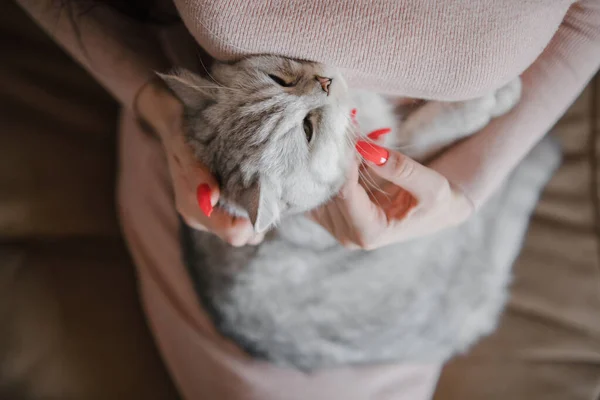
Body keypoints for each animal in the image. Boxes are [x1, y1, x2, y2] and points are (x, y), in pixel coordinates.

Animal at [159, 54, 556, 370]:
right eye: (308, 129)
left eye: (279, 79)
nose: (325, 82)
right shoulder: (392, 152)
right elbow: (431, 129)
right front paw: (492, 100)